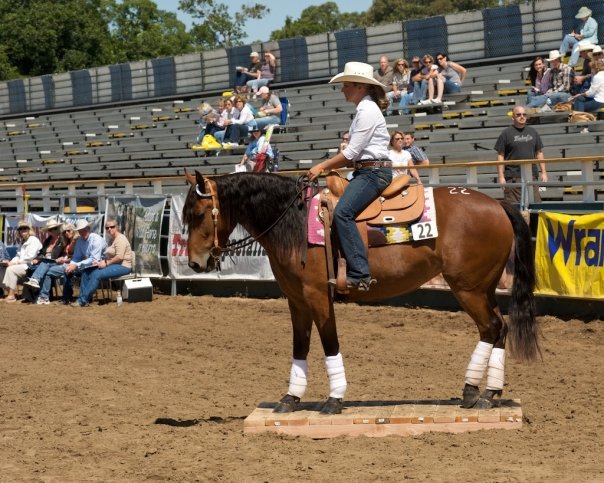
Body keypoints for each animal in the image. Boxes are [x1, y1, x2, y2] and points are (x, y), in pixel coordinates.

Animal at [183, 170, 539, 415]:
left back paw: (478, 393)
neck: (295, 222)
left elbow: (329, 343)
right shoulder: (296, 300)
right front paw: (290, 398)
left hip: (468, 288)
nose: (195, 263)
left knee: (492, 328)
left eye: (198, 214)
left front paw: (334, 399)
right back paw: (484, 392)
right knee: (500, 328)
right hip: (483, 288)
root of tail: (497, 204)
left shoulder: (317, 296)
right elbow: (300, 345)